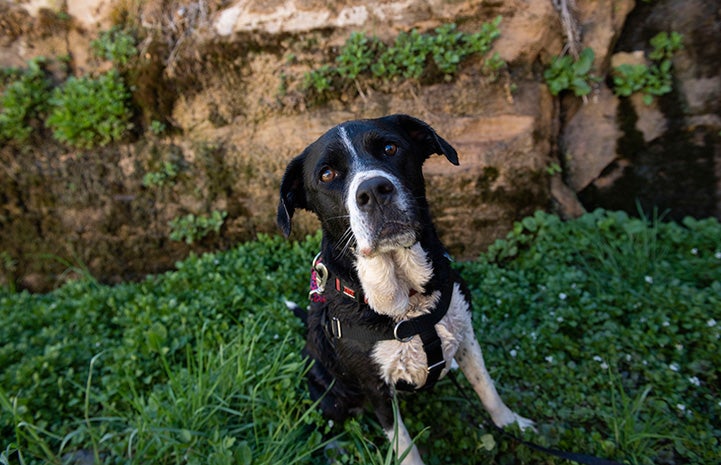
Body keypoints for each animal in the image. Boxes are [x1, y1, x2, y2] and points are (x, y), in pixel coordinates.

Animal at [278, 113, 532, 464]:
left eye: (390, 148)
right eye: (327, 174)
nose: (373, 190)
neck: (409, 300)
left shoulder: (467, 335)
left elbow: (487, 389)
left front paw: (513, 424)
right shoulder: (376, 387)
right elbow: (403, 445)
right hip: (328, 393)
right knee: (326, 422)